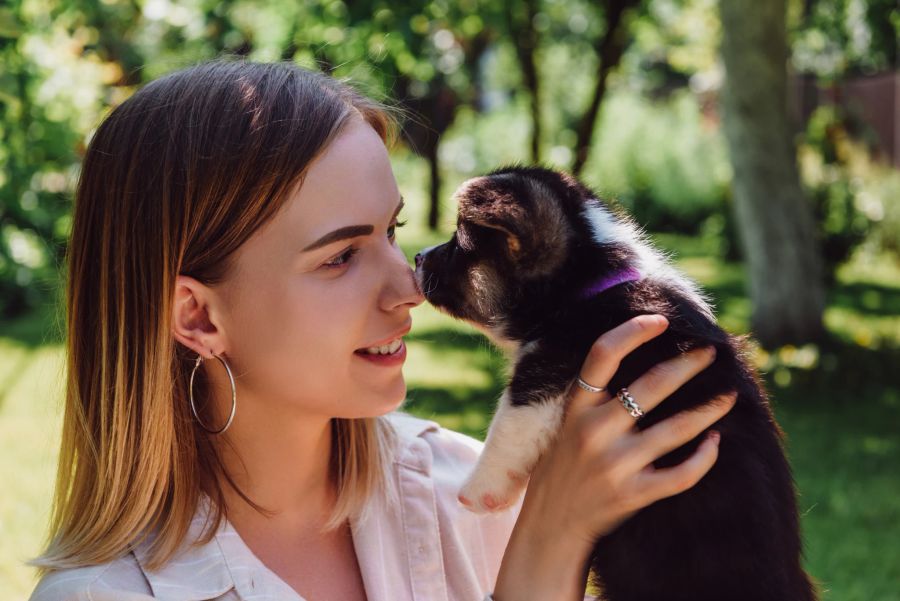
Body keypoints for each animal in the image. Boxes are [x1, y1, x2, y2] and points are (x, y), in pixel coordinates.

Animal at [412, 165, 820, 600]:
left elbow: (512, 419)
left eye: (458, 244)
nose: (416, 256)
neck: (590, 289)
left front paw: (478, 490)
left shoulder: (554, 353)